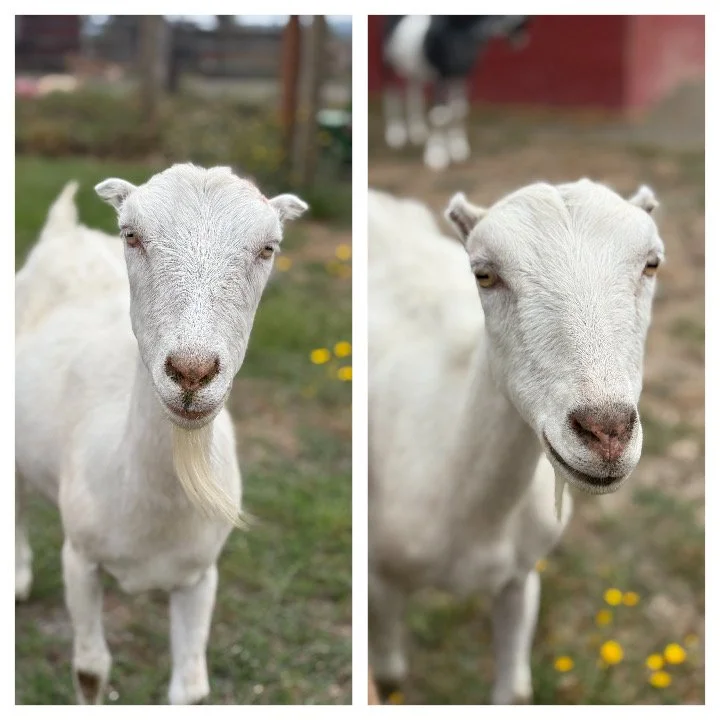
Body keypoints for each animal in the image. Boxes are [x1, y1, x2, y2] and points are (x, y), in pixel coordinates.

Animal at [15, 165, 308, 704]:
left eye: (269, 247)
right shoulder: (80, 558)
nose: (192, 371)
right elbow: (90, 669)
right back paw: (19, 575)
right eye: (131, 235)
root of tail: (64, 230)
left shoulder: (201, 576)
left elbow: (190, 688)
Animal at [368, 180, 662, 703]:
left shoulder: (520, 578)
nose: (606, 431)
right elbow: (390, 674)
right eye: (484, 274)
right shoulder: (379, 581)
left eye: (652, 263)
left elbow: (516, 691)